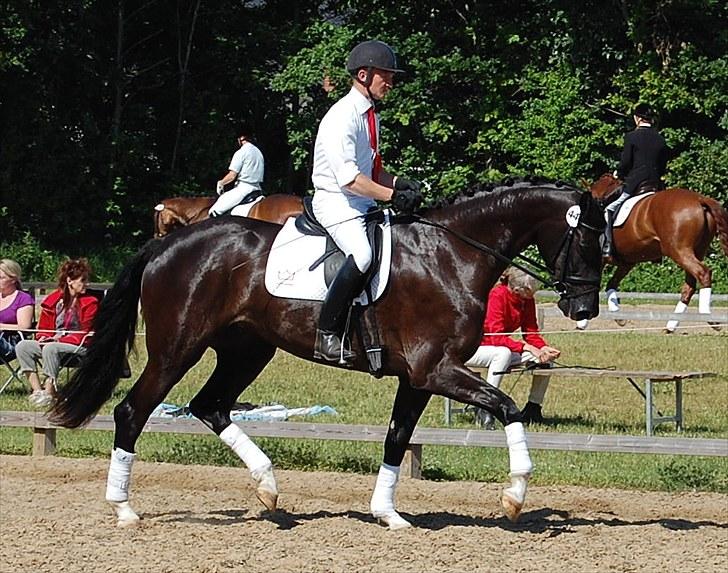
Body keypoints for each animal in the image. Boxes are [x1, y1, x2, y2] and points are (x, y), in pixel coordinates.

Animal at [592, 172, 728, 328]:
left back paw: (707, 317)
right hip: (697, 251)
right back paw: (671, 326)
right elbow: (611, 284)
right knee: (690, 284)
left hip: (679, 251)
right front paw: (618, 316)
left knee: (703, 273)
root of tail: (700, 199)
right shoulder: (627, 263)